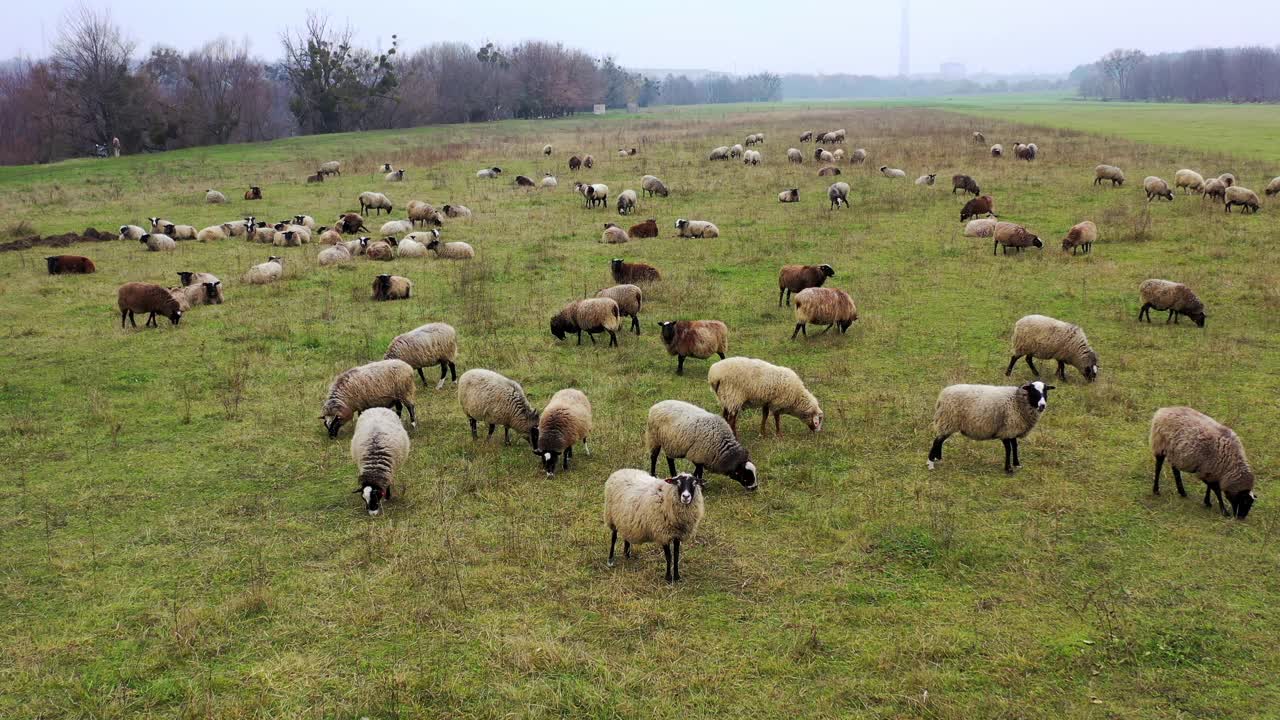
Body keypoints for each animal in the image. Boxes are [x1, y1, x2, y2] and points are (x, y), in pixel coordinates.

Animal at [926, 379, 1054, 474]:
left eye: (1045, 391)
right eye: (1033, 391)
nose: (1042, 405)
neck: (1017, 400)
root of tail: (942, 396)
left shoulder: (1012, 428)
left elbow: (1015, 446)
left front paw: (1017, 464)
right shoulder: (1006, 429)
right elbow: (1009, 448)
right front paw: (1008, 468)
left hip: (948, 422)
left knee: (940, 440)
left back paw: (938, 458)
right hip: (948, 420)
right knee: (937, 441)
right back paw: (931, 463)